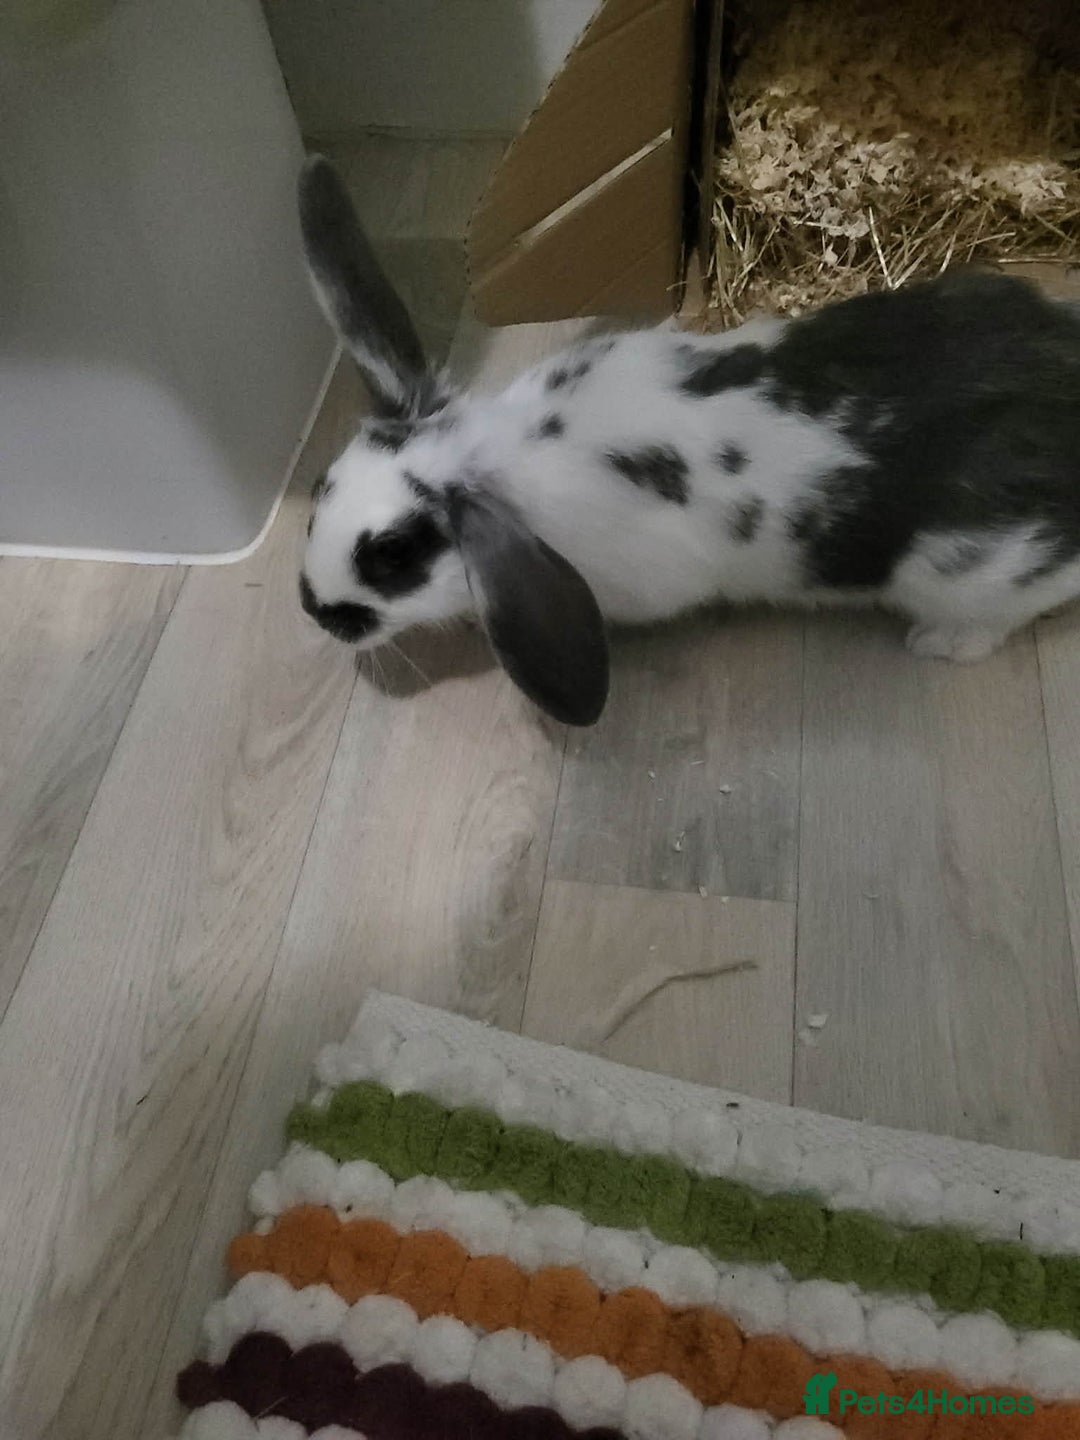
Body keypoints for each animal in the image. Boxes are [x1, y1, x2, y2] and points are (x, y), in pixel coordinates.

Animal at [296, 154, 1080, 726]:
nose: (314, 611)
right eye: (318, 491)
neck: (500, 456)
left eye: (393, 554)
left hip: (975, 576)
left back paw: (937, 643)